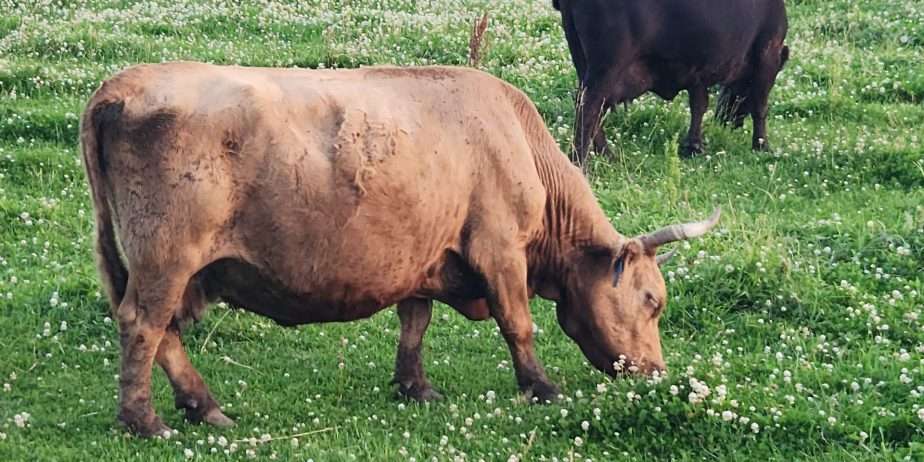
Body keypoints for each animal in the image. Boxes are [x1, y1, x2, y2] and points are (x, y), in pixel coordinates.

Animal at [80, 62, 720, 437]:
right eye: (652, 301)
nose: (656, 373)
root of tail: (121, 85)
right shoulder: (499, 249)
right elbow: (519, 324)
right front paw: (540, 386)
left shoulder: (423, 255)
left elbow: (415, 321)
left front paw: (415, 386)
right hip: (166, 256)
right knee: (144, 325)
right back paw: (144, 420)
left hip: (169, 267)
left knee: (163, 333)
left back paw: (203, 406)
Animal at [553, 0, 790, 167]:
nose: (724, 118)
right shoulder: (767, 54)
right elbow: (760, 108)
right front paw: (762, 146)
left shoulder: (697, 71)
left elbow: (698, 105)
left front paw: (694, 146)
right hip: (607, 65)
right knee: (590, 107)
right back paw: (581, 162)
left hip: (583, 60)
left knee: (588, 105)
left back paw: (607, 155)